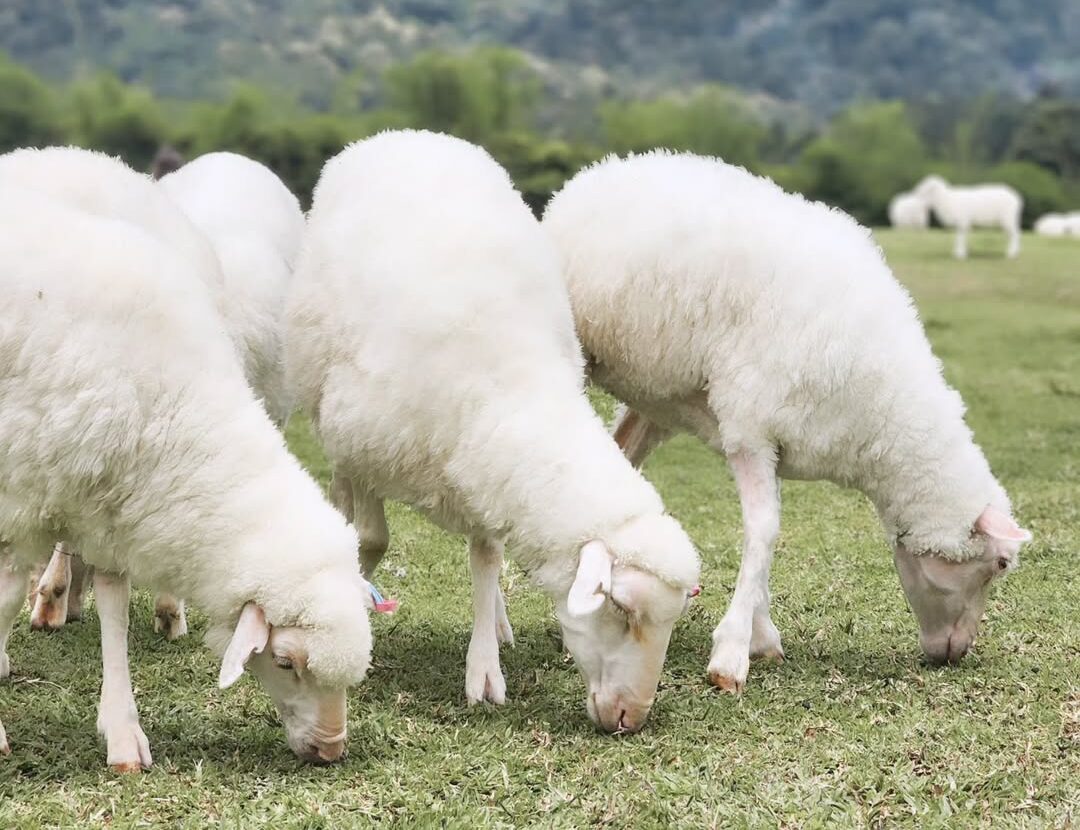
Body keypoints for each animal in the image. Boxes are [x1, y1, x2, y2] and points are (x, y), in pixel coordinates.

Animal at [0, 186, 372, 769]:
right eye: (285, 661)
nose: (330, 750)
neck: (169, 407)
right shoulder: (24, 496)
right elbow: (6, 597)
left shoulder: (109, 507)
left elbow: (114, 608)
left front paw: (122, 731)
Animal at [286, 130, 700, 733]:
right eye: (622, 608)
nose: (632, 717)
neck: (514, 381)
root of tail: (408, 134)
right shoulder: (362, 444)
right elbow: (370, 537)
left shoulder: (483, 468)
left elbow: (485, 557)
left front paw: (483, 664)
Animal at [542, 151, 1032, 694]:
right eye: (1000, 563)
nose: (957, 653)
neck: (883, 417)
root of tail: (605, 169)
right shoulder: (750, 428)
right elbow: (765, 531)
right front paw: (731, 654)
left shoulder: (773, 439)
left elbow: (767, 530)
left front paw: (760, 635)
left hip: (655, 397)